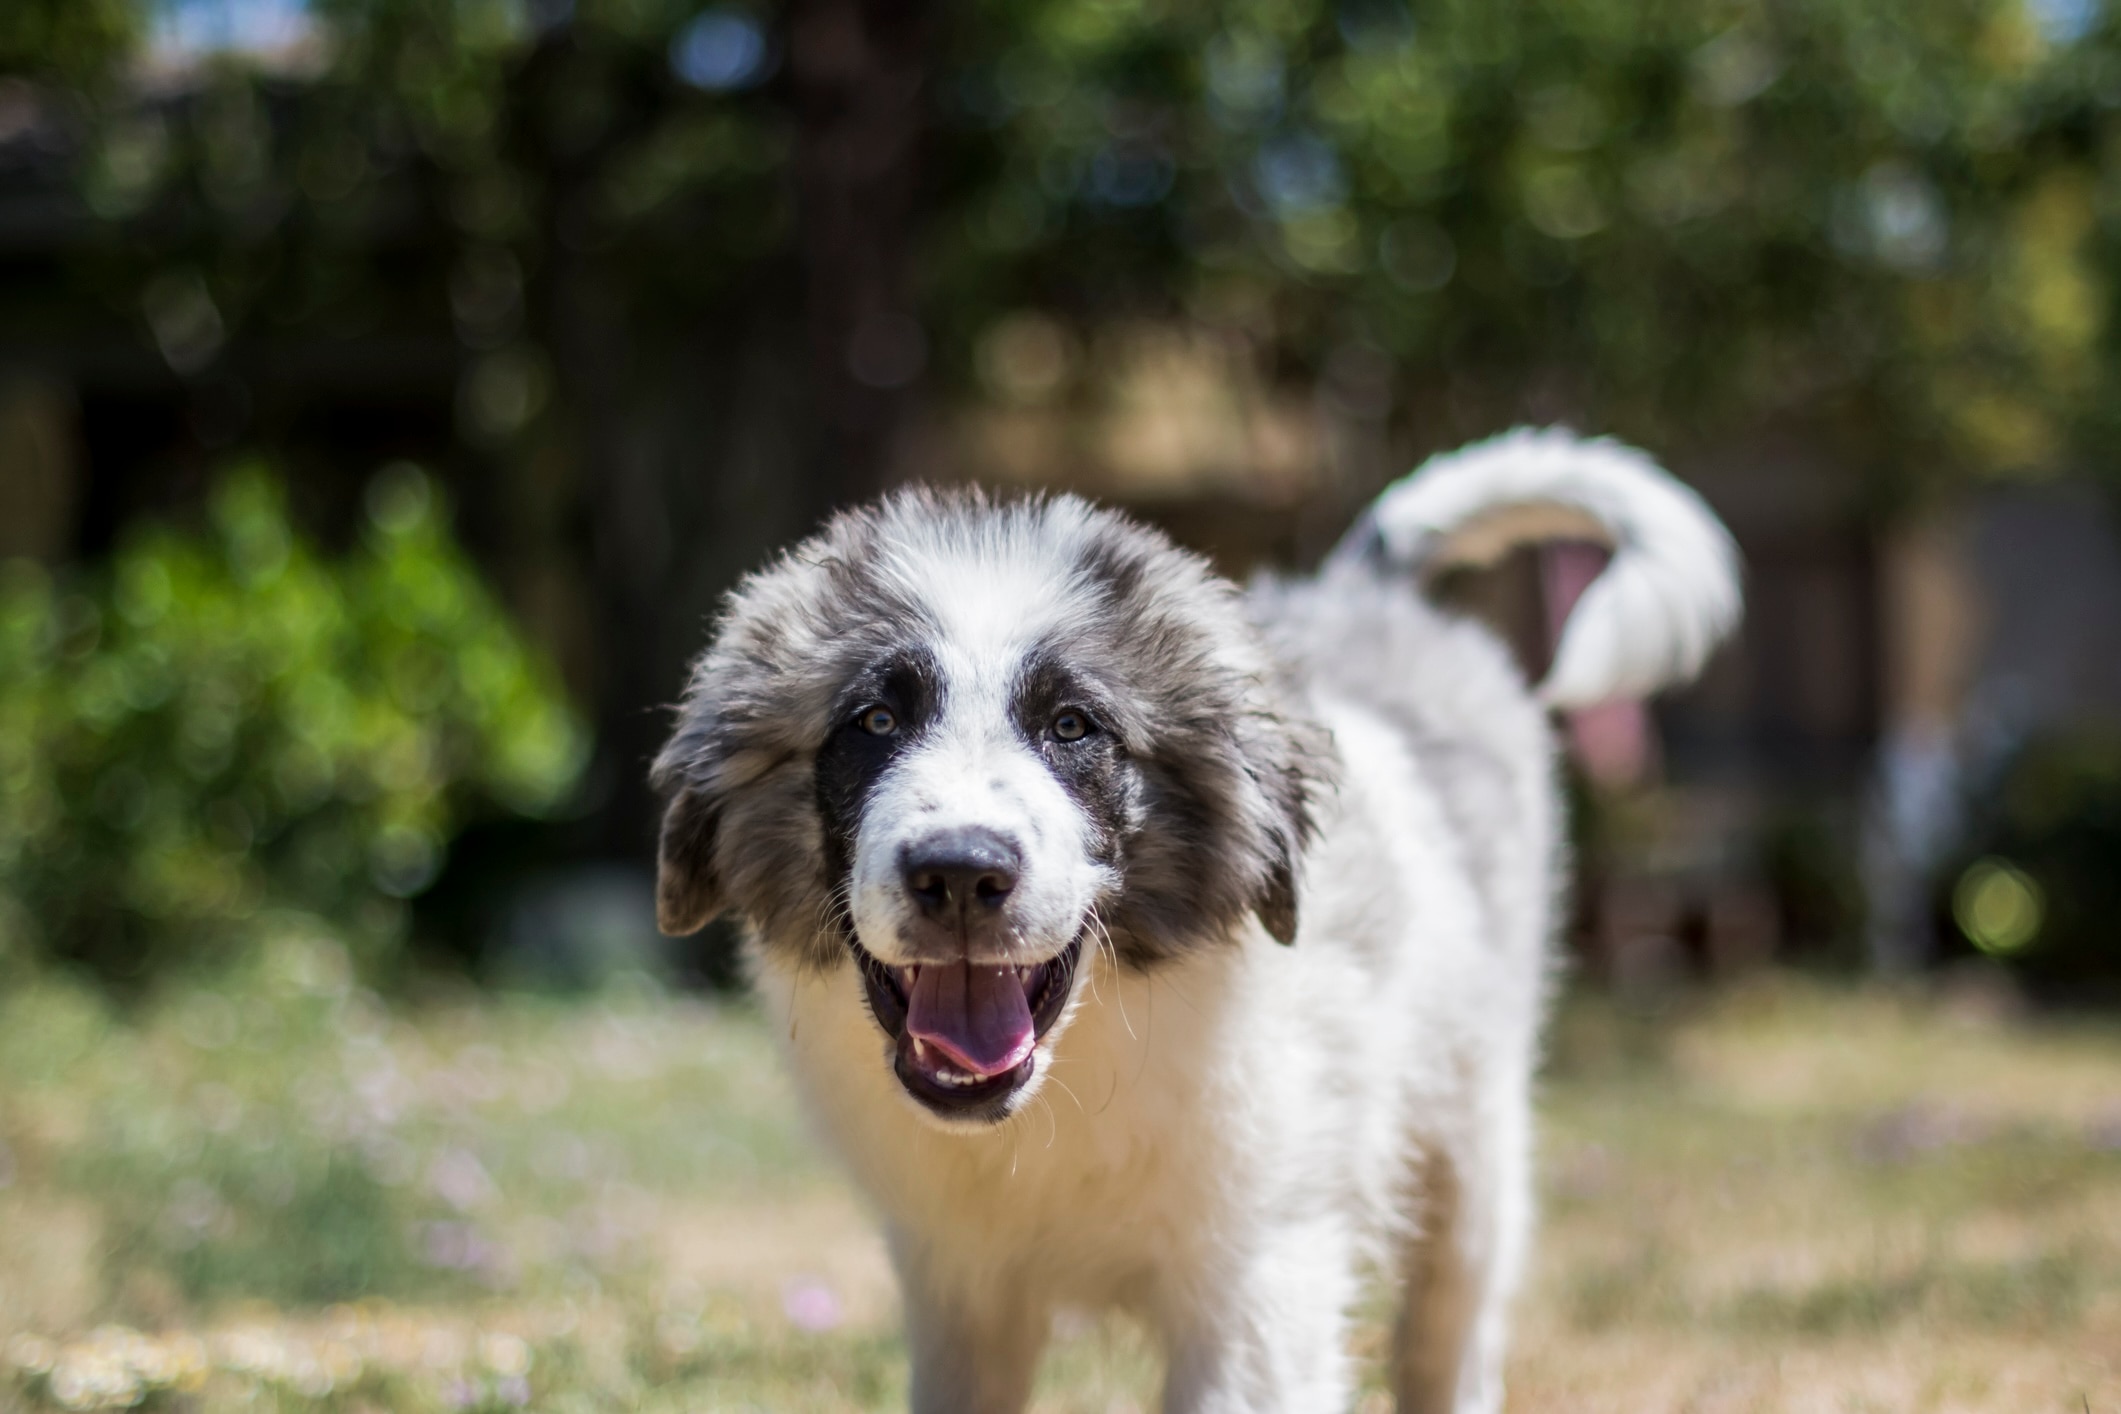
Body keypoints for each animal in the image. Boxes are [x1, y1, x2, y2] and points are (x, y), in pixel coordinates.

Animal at [649, 432, 1739, 1414]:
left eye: (1072, 726)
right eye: (874, 722)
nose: (959, 871)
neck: (1070, 1078)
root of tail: (1358, 595)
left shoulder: (1261, 1280)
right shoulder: (957, 1287)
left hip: (1472, 1150)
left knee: (1451, 1337)